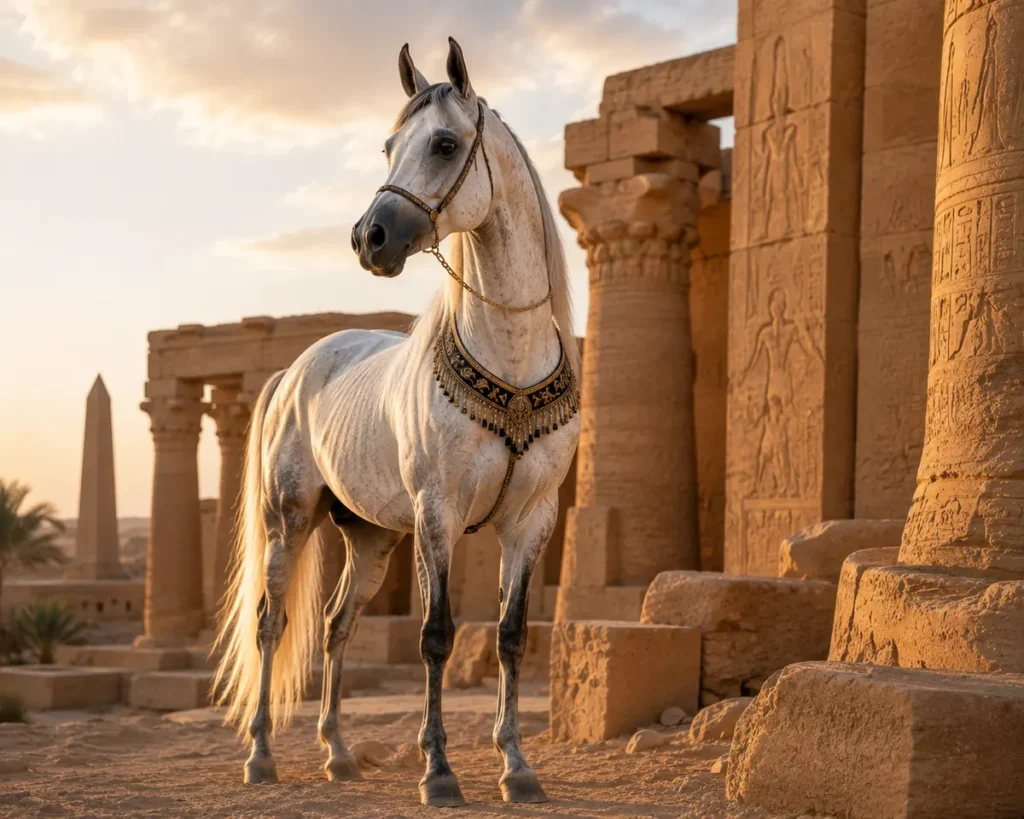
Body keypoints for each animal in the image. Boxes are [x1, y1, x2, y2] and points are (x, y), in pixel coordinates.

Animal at [213, 37, 580, 807]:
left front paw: (516, 766)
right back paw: (261, 754)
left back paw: (338, 753)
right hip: (290, 518)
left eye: (444, 143)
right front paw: (438, 771)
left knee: (336, 624)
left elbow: (511, 635)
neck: (511, 360)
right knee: (271, 622)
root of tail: (296, 368)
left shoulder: (531, 518)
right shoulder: (438, 511)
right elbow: (436, 635)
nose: (369, 238)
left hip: (372, 536)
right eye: (388, 146)